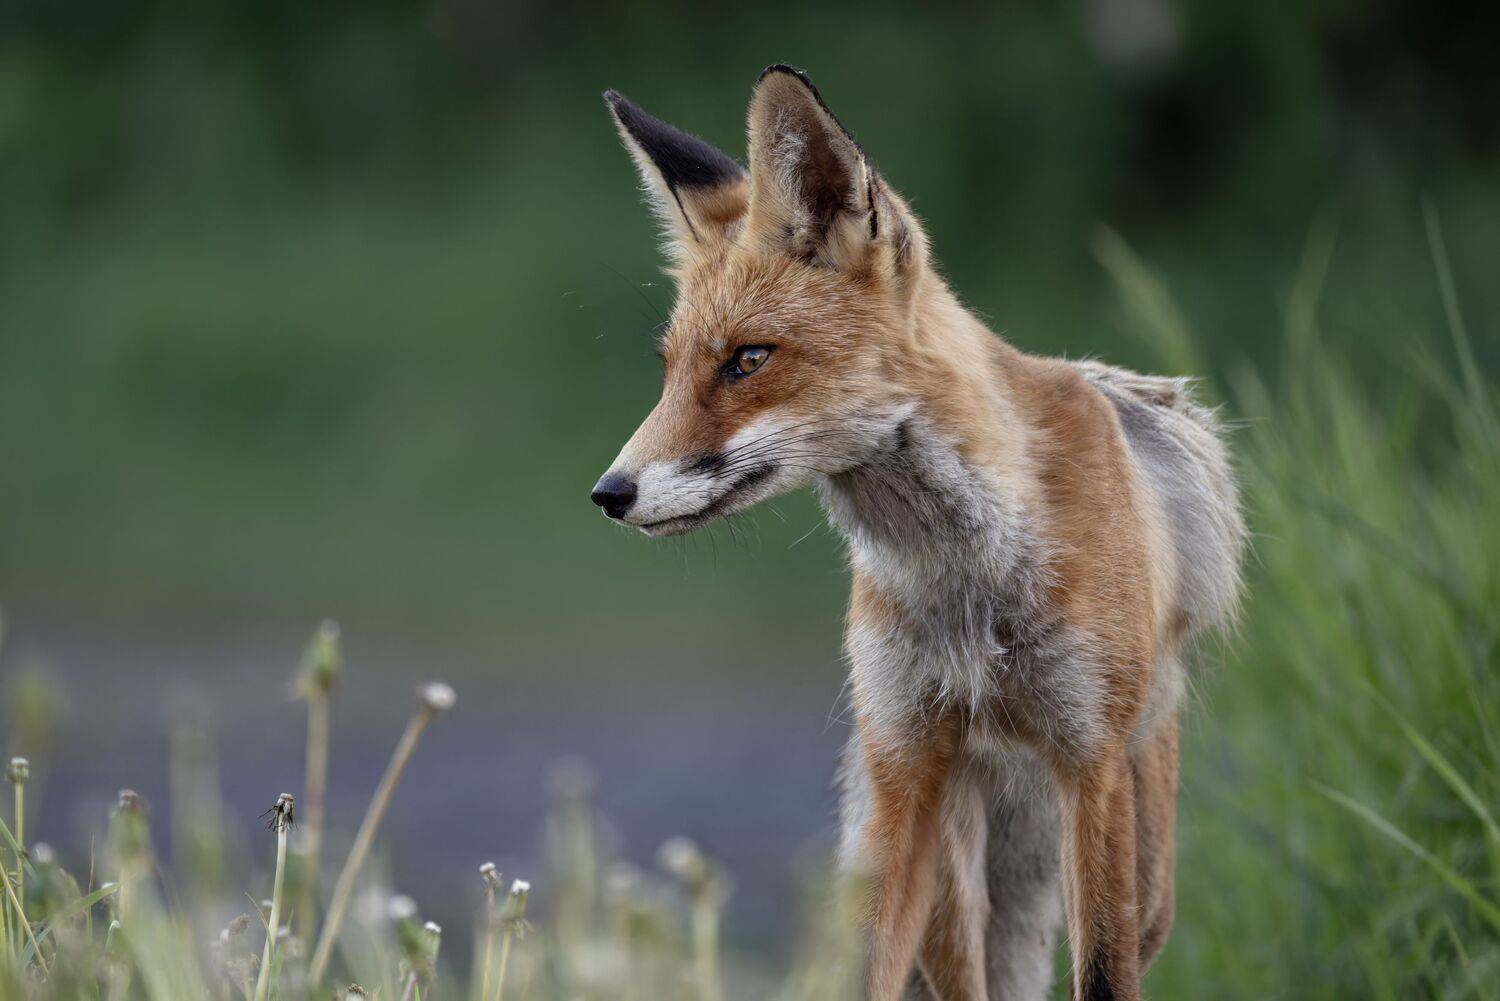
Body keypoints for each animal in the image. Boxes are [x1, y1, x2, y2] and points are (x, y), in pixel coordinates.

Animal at [591, 66, 1245, 1001]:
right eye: (670, 368)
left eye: (748, 360)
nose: (609, 492)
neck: (968, 576)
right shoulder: (904, 768)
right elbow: (863, 966)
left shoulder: (1090, 766)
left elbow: (1100, 972)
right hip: (946, 849)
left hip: (1140, 847)